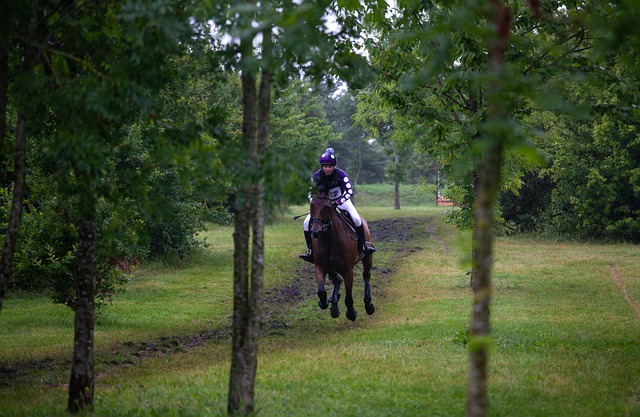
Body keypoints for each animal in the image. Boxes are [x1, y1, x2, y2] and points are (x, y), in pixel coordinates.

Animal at [308, 188, 376, 322]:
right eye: (311, 205)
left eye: (327, 207)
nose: (316, 232)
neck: (329, 239)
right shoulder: (320, 267)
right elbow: (321, 291)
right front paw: (325, 302)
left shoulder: (348, 271)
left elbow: (348, 297)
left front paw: (351, 312)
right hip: (331, 268)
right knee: (336, 279)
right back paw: (334, 305)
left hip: (367, 257)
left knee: (366, 276)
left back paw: (368, 304)